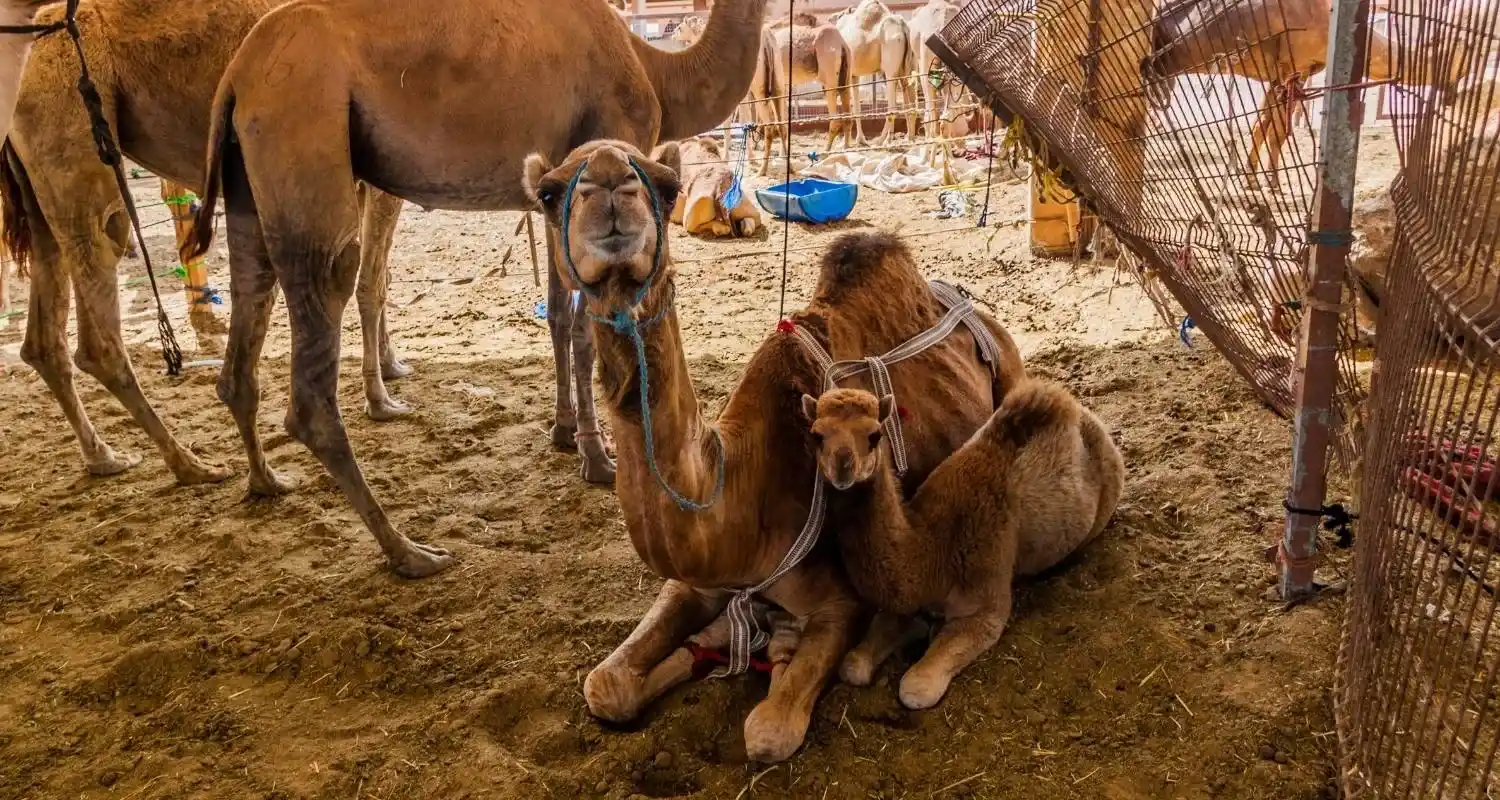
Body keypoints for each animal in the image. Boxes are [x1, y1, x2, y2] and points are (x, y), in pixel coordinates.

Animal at [0, 0, 425, 486]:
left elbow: (377, 279)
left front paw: (391, 367)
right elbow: (371, 285)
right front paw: (381, 398)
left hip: (39, 192)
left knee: (44, 337)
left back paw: (106, 456)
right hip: (79, 155)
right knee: (99, 327)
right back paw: (193, 465)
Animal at [186, 0, 768, 577]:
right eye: (667, 189)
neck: (656, 66)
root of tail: (236, 77)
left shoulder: (555, 197)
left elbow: (559, 315)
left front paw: (564, 434)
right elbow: (583, 327)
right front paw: (597, 457)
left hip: (246, 181)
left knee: (248, 302)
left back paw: (266, 480)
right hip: (302, 127)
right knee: (325, 309)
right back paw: (410, 552)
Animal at [521, 140, 1025, 760]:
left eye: (667, 186)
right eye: (548, 194)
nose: (612, 183)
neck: (741, 493)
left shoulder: (839, 602)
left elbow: (768, 731)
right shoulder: (695, 581)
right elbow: (604, 684)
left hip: (1009, 366)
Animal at [804, 380, 1124, 709]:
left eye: (874, 435)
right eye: (816, 435)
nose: (843, 468)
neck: (931, 549)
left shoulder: (984, 602)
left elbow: (915, 688)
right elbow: (852, 665)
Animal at [831, 0, 915, 146]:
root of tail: (903, 27)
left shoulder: (846, 74)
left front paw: (846, 144)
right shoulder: (854, 75)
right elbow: (857, 106)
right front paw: (860, 140)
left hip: (890, 64)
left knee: (893, 106)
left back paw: (883, 140)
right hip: (905, 68)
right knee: (907, 97)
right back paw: (909, 137)